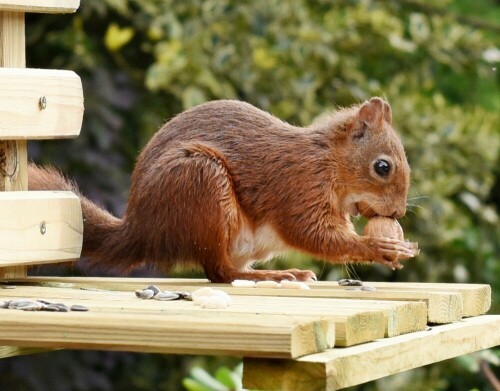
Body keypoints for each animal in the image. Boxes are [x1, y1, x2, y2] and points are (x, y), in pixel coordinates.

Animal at [29, 97, 416, 282]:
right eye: (383, 167)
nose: (398, 213)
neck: (329, 161)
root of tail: (141, 230)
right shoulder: (300, 186)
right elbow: (311, 233)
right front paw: (380, 247)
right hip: (200, 183)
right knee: (219, 273)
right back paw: (272, 276)